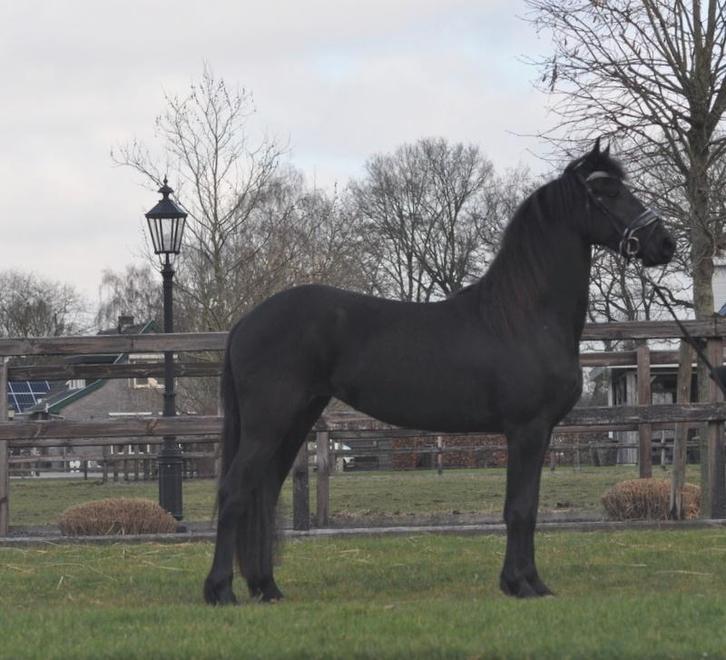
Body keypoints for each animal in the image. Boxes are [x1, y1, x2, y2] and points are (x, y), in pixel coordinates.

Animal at [203, 139, 675, 604]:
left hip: (296, 419)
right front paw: (521, 584)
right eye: (607, 190)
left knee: (263, 490)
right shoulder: (527, 429)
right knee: (234, 490)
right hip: (270, 422)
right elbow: (520, 509)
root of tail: (247, 322)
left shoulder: (538, 434)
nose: (664, 243)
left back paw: (266, 587)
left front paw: (529, 582)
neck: (522, 316)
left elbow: (528, 506)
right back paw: (220, 591)